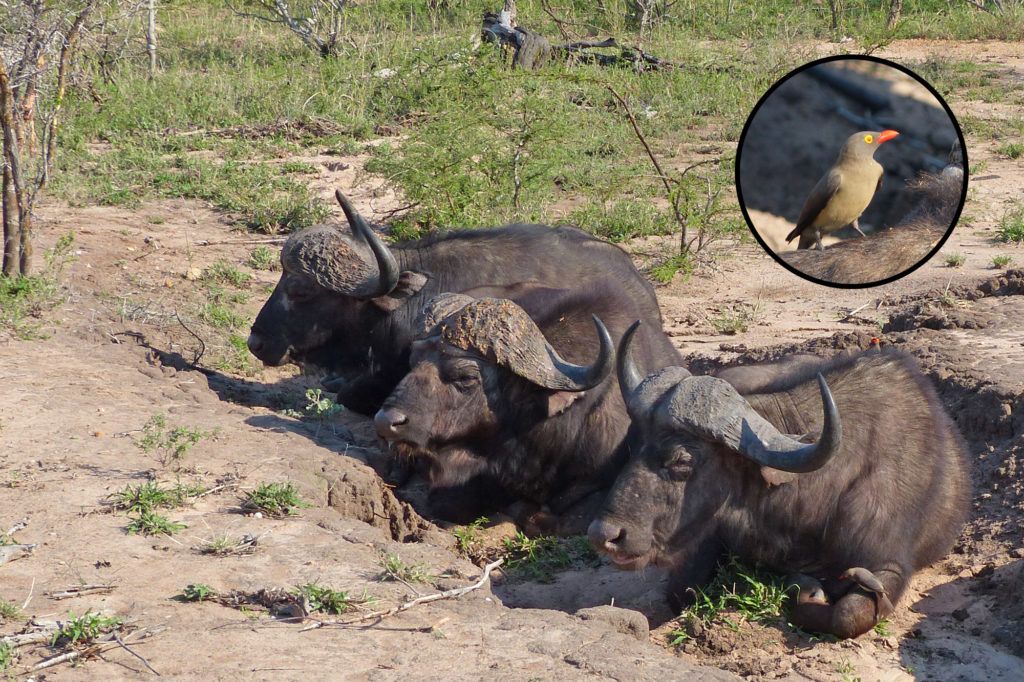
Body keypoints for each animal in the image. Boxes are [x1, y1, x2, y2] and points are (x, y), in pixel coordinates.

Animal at [589, 324, 970, 638]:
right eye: (633, 446)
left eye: (683, 460)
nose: (604, 534)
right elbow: (680, 590)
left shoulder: (889, 564)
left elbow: (849, 614)